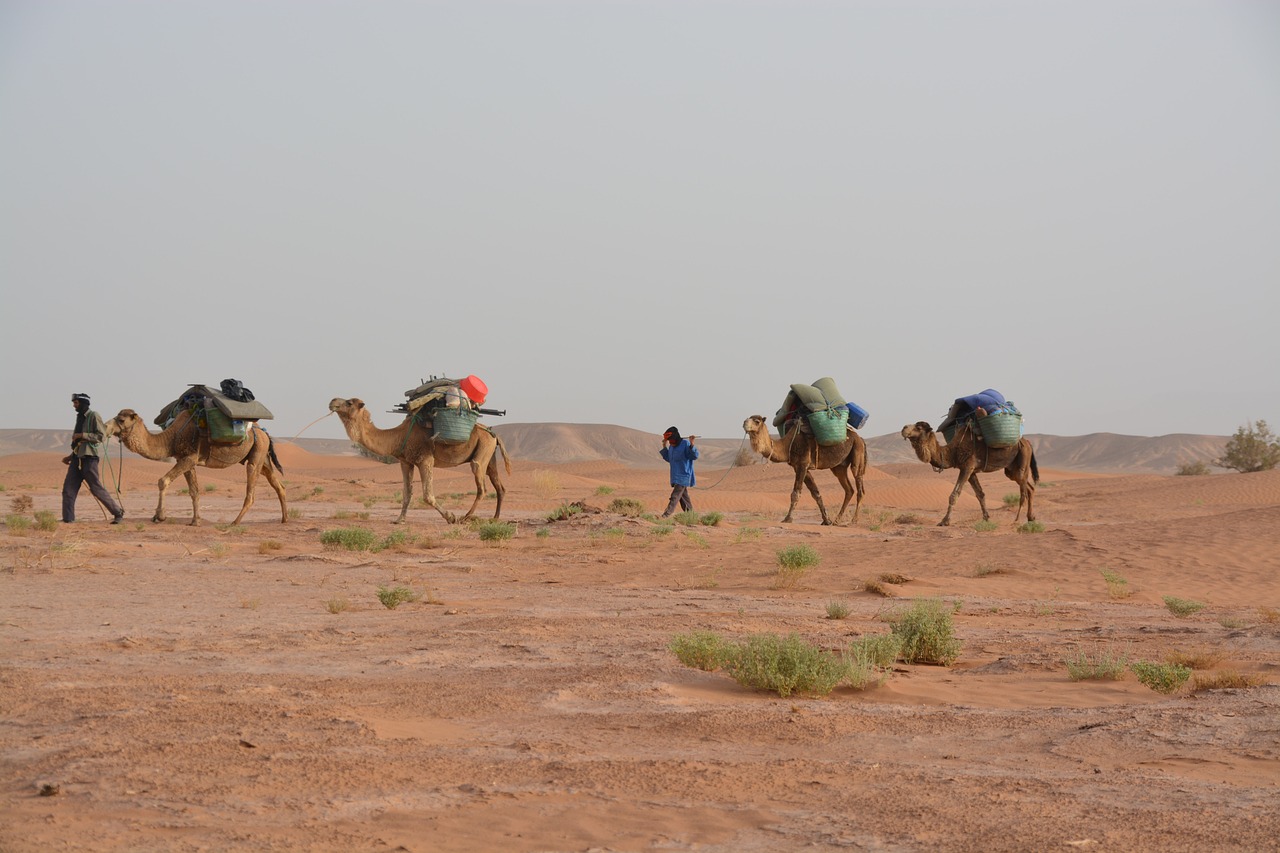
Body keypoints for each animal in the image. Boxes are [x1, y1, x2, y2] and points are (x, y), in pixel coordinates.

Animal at [104, 407, 288, 525]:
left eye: (121, 419)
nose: (105, 428)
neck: (171, 438)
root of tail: (265, 432)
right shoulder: (185, 460)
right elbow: (194, 491)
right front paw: (195, 521)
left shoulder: (189, 457)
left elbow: (163, 481)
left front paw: (159, 516)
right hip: (263, 457)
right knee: (278, 484)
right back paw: (284, 519)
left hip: (257, 454)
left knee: (252, 489)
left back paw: (235, 522)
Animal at [327, 397, 512, 522]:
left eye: (349, 402)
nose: (332, 401)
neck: (398, 436)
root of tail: (494, 435)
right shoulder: (405, 462)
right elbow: (407, 493)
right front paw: (399, 520)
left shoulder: (425, 460)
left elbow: (427, 495)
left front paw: (450, 517)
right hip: (489, 455)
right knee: (499, 486)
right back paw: (495, 518)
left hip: (483, 450)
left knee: (481, 485)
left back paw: (465, 517)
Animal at [742, 412, 870, 525]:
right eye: (748, 418)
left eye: (757, 421)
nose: (744, 423)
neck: (787, 445)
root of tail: (861, 439)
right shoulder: (801, 467)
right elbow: (816, 493)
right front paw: (826, 520)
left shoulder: (802, 464)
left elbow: (795, 493)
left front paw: (787, 519)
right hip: (839, 467)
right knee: (849, 490)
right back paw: (837, 520)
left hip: (857, 451)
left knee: (859, 487)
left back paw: (854, 520)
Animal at [901, 417, 1039, 525]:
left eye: (918, 427)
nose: (904, 428)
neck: (952, 452)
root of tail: (1027, 442)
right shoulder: (971, 471)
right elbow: (980, 494)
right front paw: (986, 518)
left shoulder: (967, 467)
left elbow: (954, 494)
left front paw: (945, 521)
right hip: (1011, 469)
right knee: (1030, 488)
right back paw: (1031, 517)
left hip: (1023, 457)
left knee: (1023, 491)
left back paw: (1017, 519)